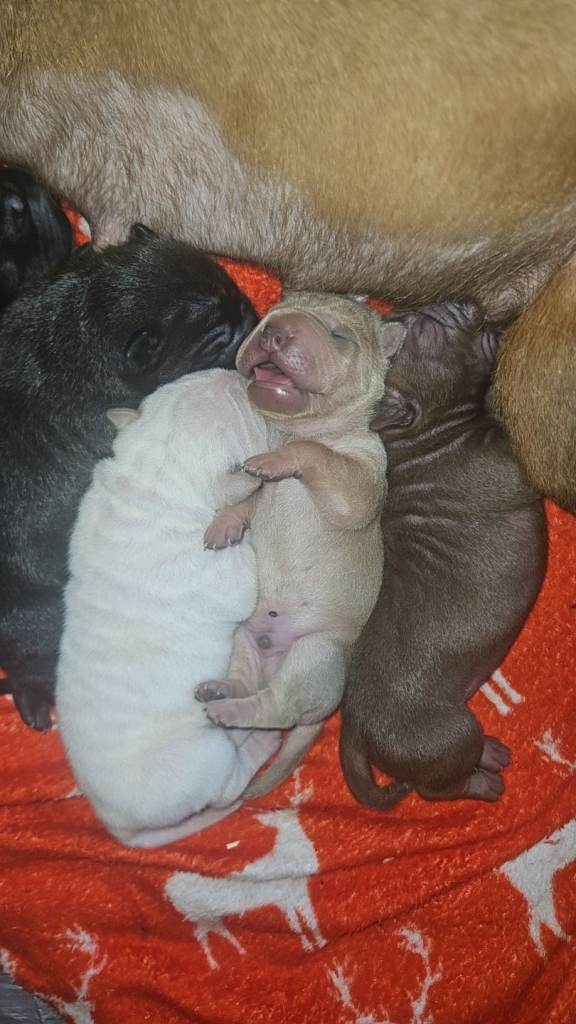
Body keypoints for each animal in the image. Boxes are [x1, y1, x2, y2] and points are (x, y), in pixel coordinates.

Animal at [196, 293, 406, 797]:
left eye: (340, 335)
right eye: (273, 309)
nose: (277, 330)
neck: (291, 429)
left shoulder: (359, 483)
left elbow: (315, 455)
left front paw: (278, 461)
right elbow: (251, 496)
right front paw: (227, 522)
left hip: (316, 654)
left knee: (275, 710)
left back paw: (229, 710)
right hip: (243, 637)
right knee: (252, 685)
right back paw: (223, 691)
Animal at [339, 303, 547, 809]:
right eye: (429, 332)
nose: (468, 306)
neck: (420, 437)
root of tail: (354, 724)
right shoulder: (509, 465)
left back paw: (489, 755)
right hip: (447, 735)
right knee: (436, 787)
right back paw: (484, 780)